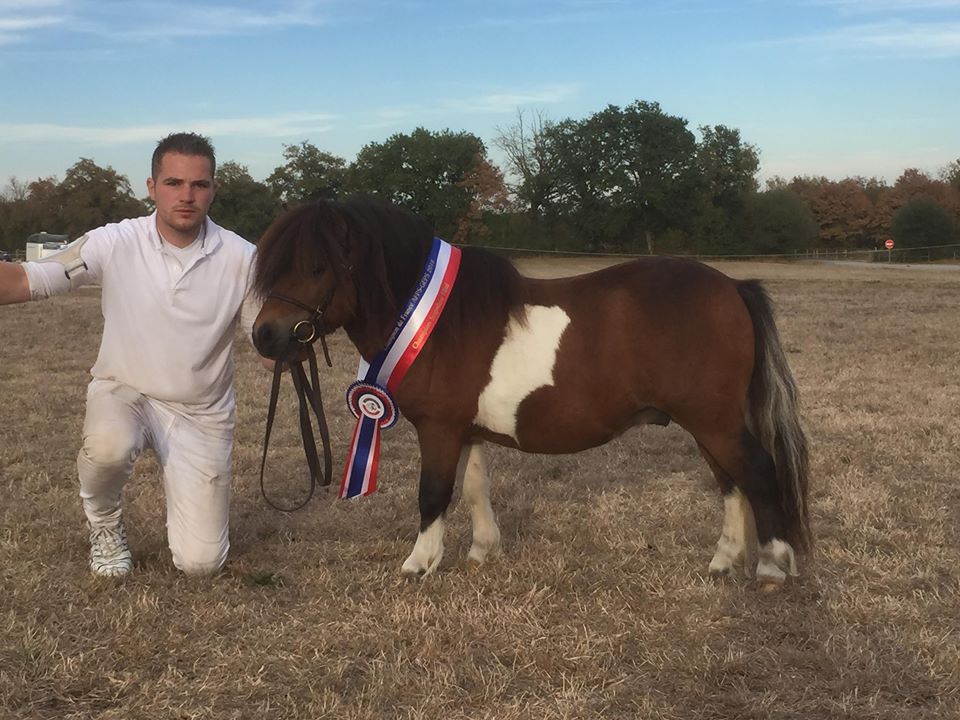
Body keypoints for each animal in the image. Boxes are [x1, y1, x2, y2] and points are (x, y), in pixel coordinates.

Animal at [249, 194, 808, 588]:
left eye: (318, 266)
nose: (266, 336)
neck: (437, 321)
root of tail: (732, 287)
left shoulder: (439, 429)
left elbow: (434, 494)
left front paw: (419, 563)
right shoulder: (466, 430)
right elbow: (475, 487)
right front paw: (482, 551)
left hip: (714, 420)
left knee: (758, 474)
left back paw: (772, 567)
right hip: (710, 423)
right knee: (731, 482)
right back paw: (724, 561)